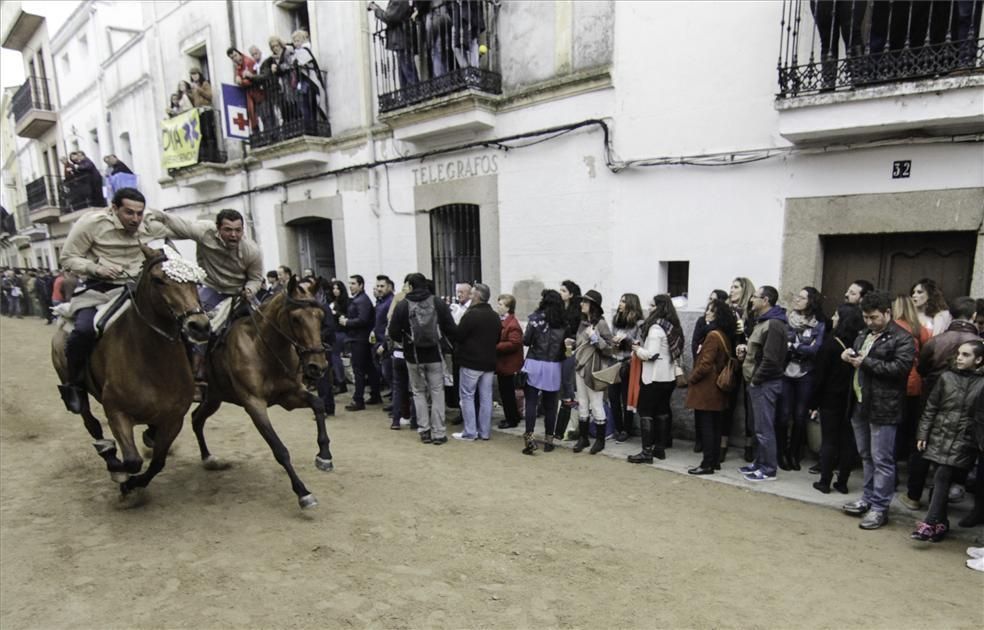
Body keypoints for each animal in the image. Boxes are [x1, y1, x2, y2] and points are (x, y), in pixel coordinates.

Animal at [52, 247, 209, 498]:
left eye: (196, 281)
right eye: (158, 280)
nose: (200, 326)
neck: (152, 363)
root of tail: (63, 315)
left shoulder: (174, 418)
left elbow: (157, 461)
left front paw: (135, 480)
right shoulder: (117, 412)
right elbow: (133, 461)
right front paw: (122, 477)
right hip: (76, 389)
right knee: (91, 422)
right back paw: (108, 453)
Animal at [186, 278, 332, 512]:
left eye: (320, 316)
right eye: (296, 319)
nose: (317, 366)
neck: (262, 348)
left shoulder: (289, 395)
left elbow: (318, 404)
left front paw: (324, 456)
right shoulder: (254, 404)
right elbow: (279, 449)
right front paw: (303, 493)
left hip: (213, 397)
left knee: (196, 419)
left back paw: (208, 458)